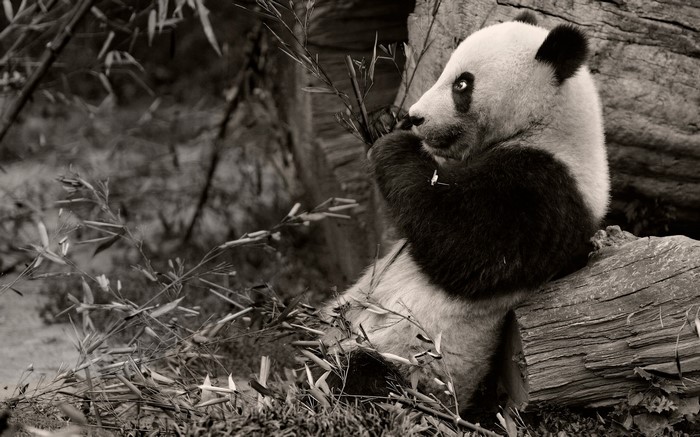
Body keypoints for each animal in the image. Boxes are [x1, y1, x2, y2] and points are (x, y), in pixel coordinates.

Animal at [320, 12, 609, 412]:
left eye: (462, 84)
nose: (415, 117)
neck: (548, 126)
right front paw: (379, 121)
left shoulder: (547, 189)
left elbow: (465, 245)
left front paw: (393, 144)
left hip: (419, 368)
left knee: (365, 381)